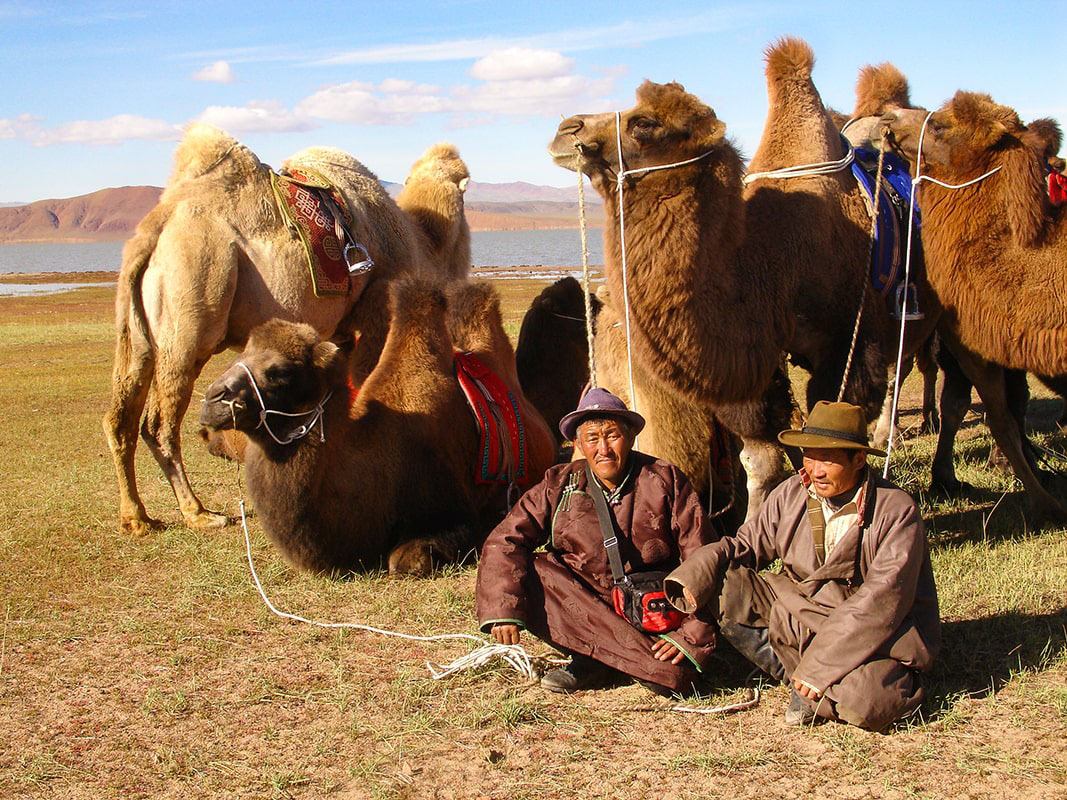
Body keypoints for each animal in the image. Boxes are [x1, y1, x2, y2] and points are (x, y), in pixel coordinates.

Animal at [106, 126, 469, 539]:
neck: (421, 242)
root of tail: (157, 225)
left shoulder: (342, 332)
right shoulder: (377, 306)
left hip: (138, 330)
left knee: (120, 418)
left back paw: (137, 518)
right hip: (193, 297)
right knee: (158, 422)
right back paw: (199, 513)